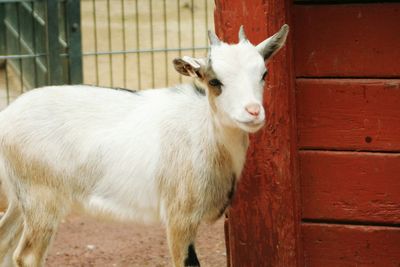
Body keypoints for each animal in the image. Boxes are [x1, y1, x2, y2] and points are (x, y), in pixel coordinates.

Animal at [0, 24, 288, 266]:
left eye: (263, 73)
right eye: (214, 80)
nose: (253, 111)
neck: (203, 133)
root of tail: (6, 117)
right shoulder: (179, 218)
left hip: (21, 200)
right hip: (42, 200)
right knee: (26, 256)